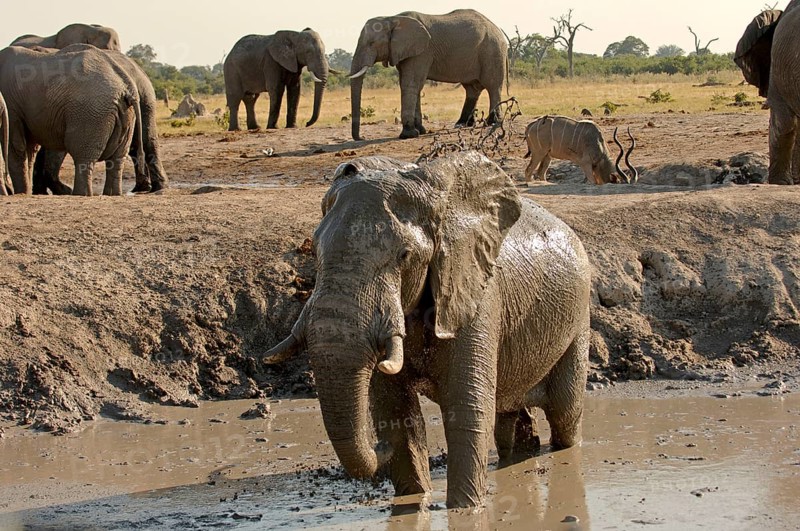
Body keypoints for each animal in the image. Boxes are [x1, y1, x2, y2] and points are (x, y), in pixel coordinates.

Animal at [0, 45, 144, 195]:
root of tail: (127, 87)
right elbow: (29, 149)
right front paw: (25, 192)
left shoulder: (11, 105)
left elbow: (16, 146)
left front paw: (21, 193)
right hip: (125, 114)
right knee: (117, 159)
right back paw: (112, 194)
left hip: (90, 112)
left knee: (83, 155)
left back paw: (80, 194)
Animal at [263, 151, 591, 508]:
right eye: (315, 250)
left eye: (404, 255)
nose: (380, 449)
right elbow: (397, 414)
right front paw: (412, 500)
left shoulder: (476, 297)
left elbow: (467, 411)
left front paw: (465, 510)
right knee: (509, 419)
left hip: (579, 316)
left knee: (565, 412)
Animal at [348, 9, 508, 140]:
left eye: (371, 43)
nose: (361, 138)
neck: (392, 18)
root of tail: (497, 28)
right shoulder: (406, 51)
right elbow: (414, 85)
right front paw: (420, 131)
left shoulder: (422, 52)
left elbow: (410, 84)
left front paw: (408, 135)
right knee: (472, 89)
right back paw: (462, 124)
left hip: (493, 51)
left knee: (493, 86)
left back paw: (492, 122)